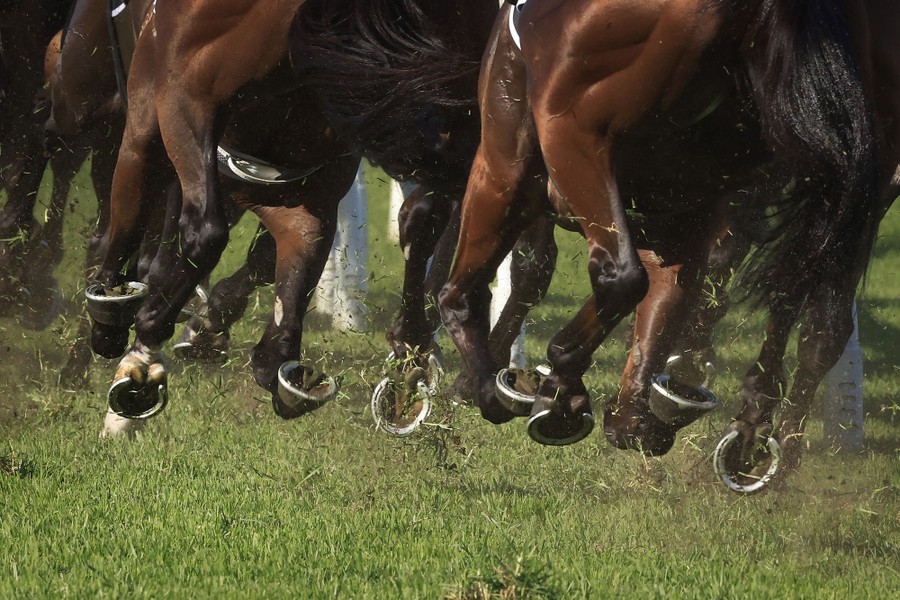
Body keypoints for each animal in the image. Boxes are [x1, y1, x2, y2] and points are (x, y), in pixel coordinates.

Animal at [440, 0, 896, 488]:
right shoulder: (685, 208)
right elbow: (672, 295)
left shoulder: (510, 161)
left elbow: (471, 289)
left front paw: (500, 387)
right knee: (805, 308)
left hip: (564, 139)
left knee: (618, 277)